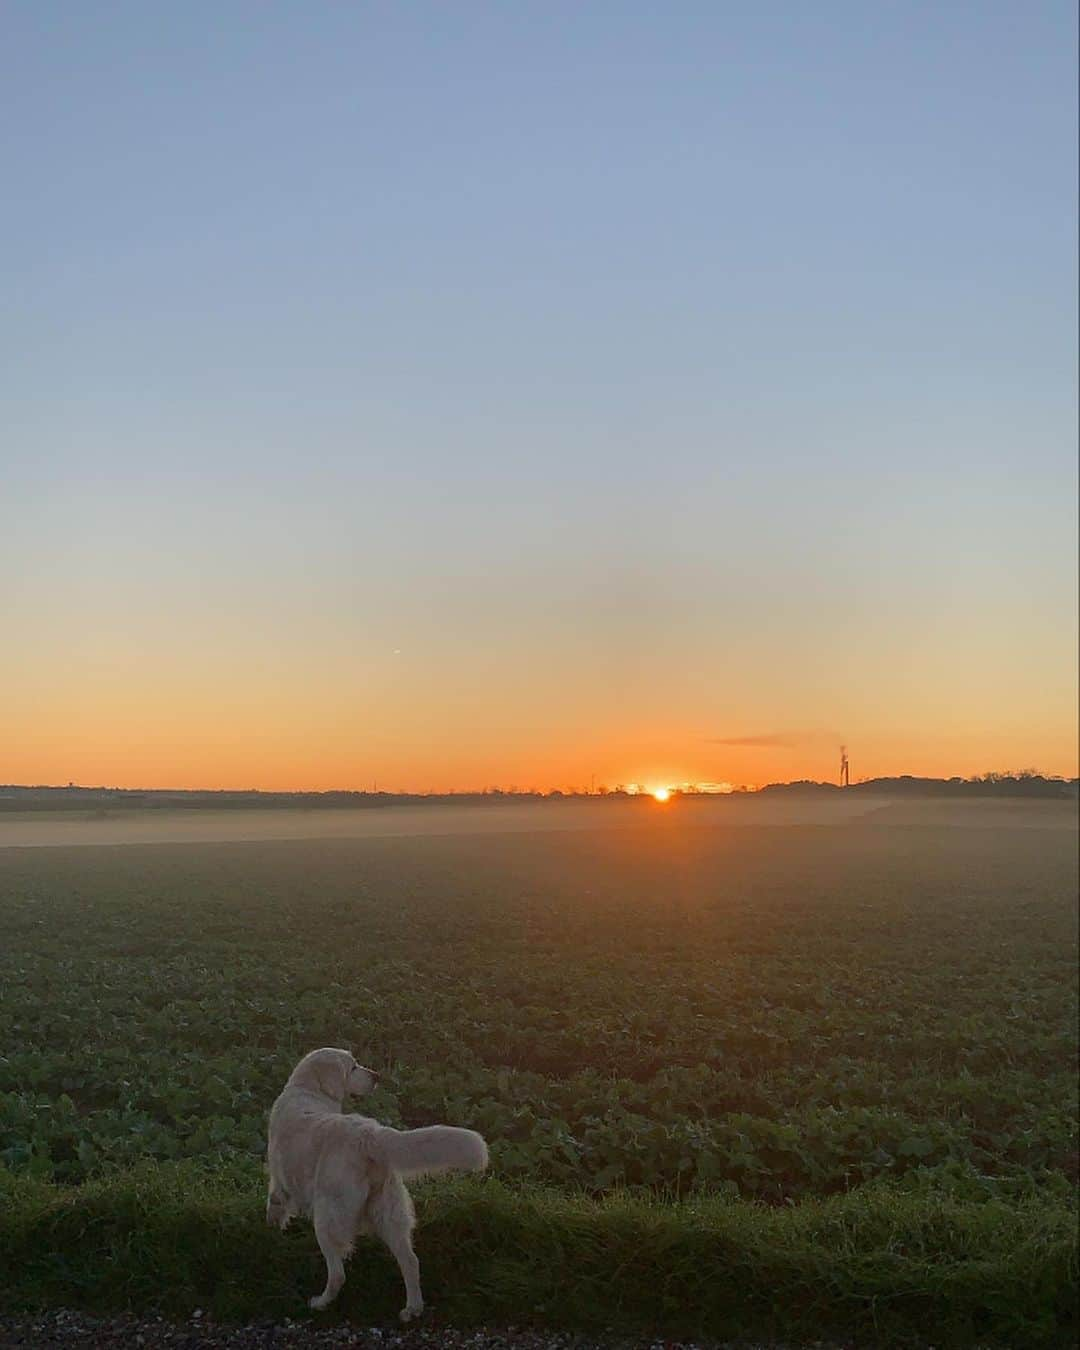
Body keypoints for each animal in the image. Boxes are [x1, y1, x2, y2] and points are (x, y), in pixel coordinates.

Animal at [267, 1042, 486, 1317]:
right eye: (353, 1067)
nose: (376, 1076)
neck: (306, 1090)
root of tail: (368, 1134)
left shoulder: (278, 1182)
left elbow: (274, 1209)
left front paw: (272, 1234)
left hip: (327, 1218)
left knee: (337, 1273)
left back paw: (320, 1302)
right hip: (390, 1213)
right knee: (411, 1261)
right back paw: (412, 1309)